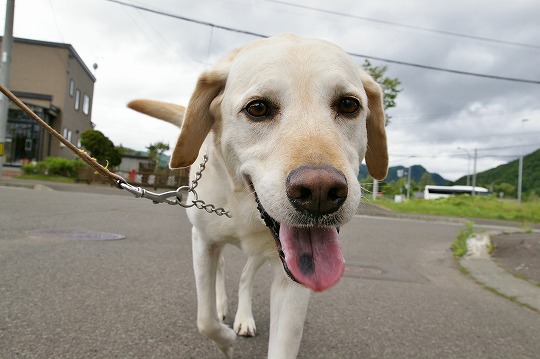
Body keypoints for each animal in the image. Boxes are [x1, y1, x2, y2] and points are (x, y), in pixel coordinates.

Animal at [129, 33, 386, 359]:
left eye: (349, 104)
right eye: (258, 108)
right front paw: (225, 339)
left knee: (244, 275)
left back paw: (244, 318)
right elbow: (205, 319)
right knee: (221, 273)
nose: (320, 192)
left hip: (263, 254)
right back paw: (224, 307)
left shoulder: (294, 278)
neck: (245, 207)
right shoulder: (202, 240)